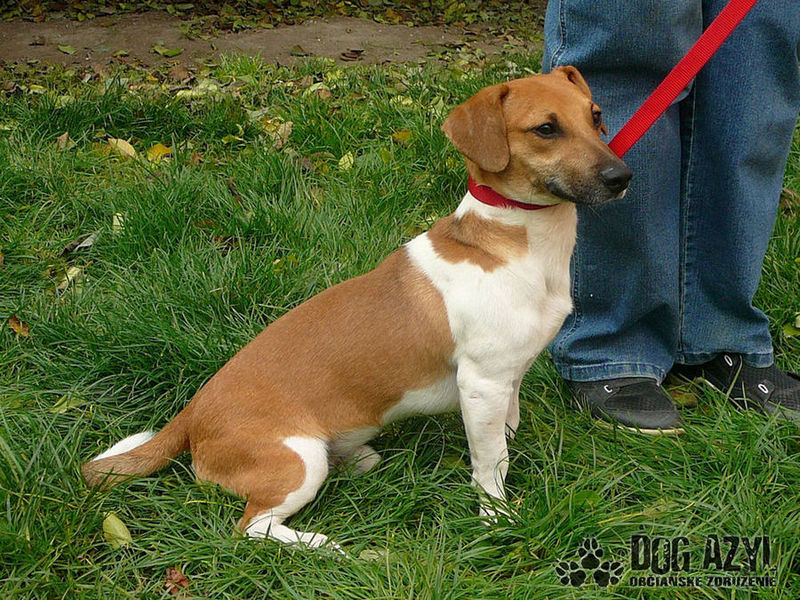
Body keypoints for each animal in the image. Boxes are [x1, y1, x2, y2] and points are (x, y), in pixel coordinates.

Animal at [82, 66, 631, 549]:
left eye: (596, 116)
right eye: (546, 129)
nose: (622, 176)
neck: (512, 240)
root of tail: (193, 412)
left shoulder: (506, 380)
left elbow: (503, 437)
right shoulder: (482, 383)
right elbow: (490, 461)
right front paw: (498, 517)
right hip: (300, 462)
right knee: (252, 528)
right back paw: (321, 545)